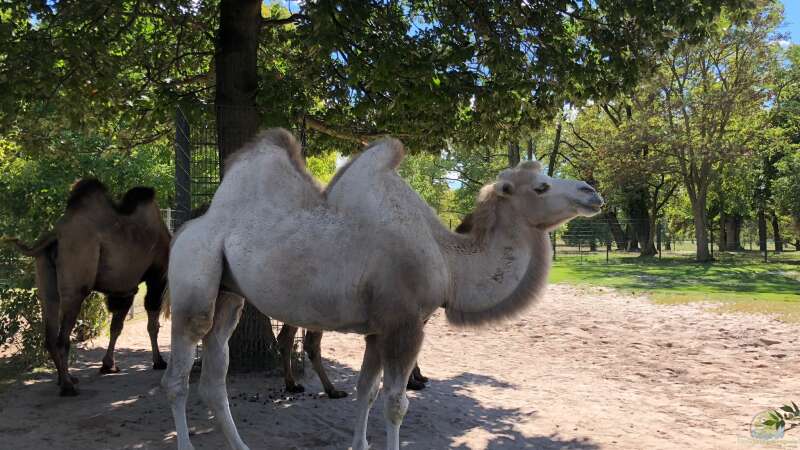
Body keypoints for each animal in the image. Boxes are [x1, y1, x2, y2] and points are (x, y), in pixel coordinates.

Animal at [6, 178, 172, 396]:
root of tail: (55, 234)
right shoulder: (155, 277)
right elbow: (152, 324)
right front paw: (159, 361)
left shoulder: (124, 288)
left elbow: (116, 326)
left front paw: (108, 365)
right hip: (75, 286)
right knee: (62, 339)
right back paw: (68, 387)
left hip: (46, 283)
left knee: (50, 334)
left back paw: (66, 379)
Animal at [161, 128, 600, 448]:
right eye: (540, 187)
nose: (591, 192)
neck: (449, 262)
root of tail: (187, 226)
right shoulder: (405, 324)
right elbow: (395, 403)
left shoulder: (377, 329)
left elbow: (365, 392)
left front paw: (359, 442)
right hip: (192, 278)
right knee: (178, 377)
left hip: (228, 294)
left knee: (215, 374)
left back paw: (240, 444)